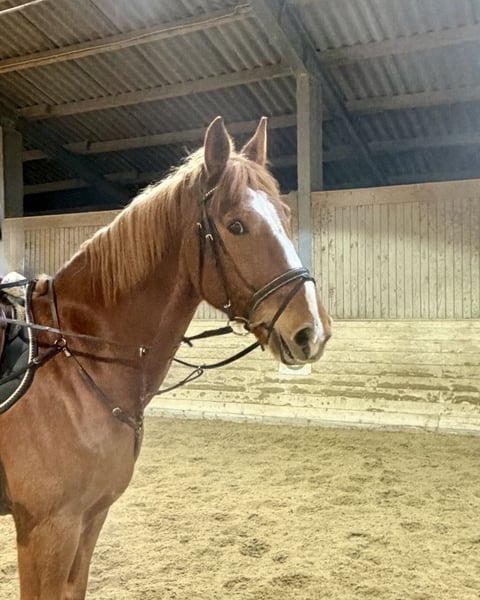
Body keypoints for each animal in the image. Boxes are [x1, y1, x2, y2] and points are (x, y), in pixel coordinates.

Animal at [0, 116, 331, 599]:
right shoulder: (46, 529)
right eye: (236, 226)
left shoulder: (88, 519)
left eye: (286, 216)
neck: (79, 358)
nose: (312, 331)